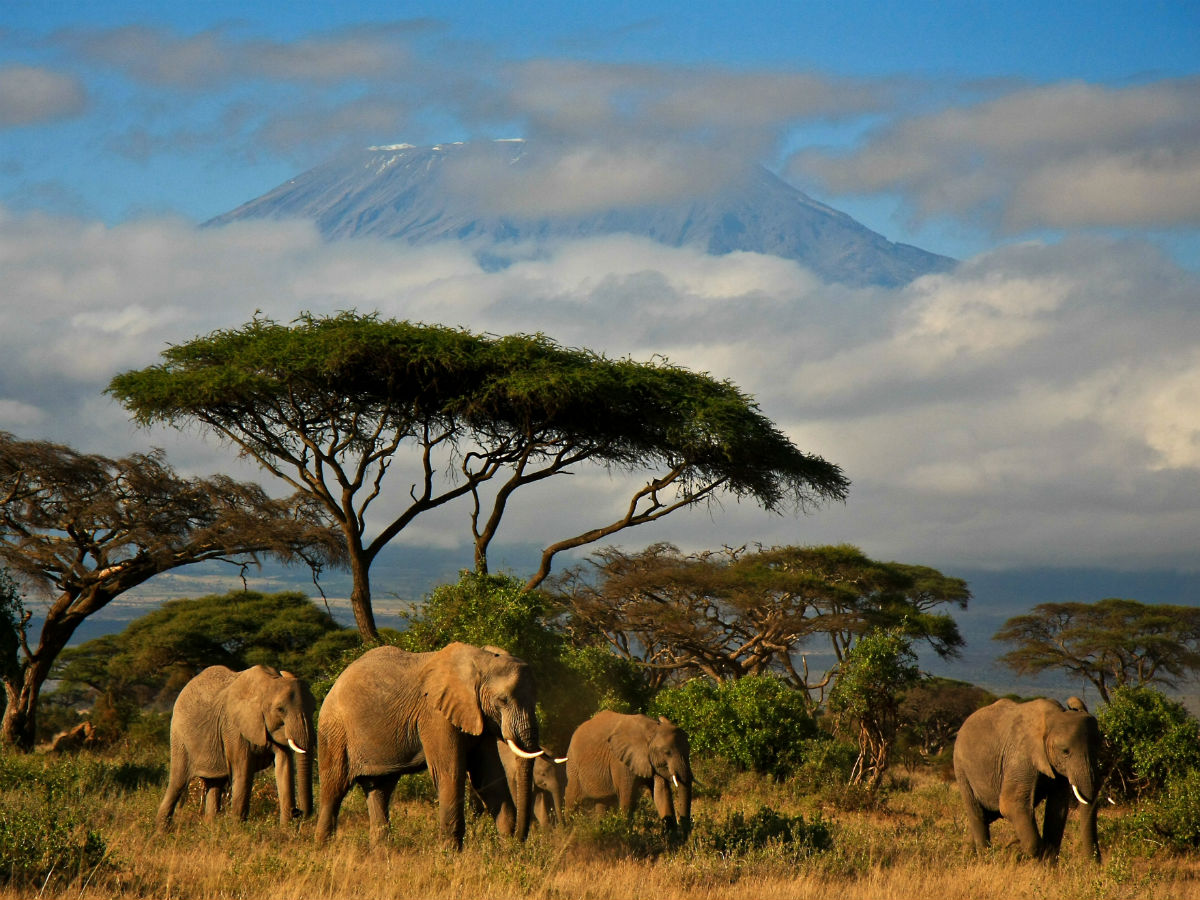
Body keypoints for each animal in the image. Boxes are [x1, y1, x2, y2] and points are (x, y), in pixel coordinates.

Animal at [154, 667, 314, 830]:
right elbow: (243, 770)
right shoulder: (233, 728)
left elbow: (284, 766)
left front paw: (286, 830)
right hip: (179, 739)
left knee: (215, 784)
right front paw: (239, 830)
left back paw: (211, 828)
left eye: (314, 709)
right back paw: (161, 831)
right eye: (280, 709)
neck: (268, 682)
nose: (298, 812)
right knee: (177, 783)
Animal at [319, 643, 544, 849]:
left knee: (379, 790)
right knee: (333, 789)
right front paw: (450, 855)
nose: (520, 840)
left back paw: (381, 855)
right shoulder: (435, 715)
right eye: (502, 700)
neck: (481, 660)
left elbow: (488, 777)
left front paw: (507, 849)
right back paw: (323, 849)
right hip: (334, 732)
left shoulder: (480, 716)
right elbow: (450, 773)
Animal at [568, 710, 696, 830]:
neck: (652, 730)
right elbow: (627, 800)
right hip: (573, 766)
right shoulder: (620, 762)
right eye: (667, 752)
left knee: (602, 803)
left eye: (689, 749)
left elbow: (661, 794)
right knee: (572, 801)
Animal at [950, 696, 1099, 864]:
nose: (1093, 864)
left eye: (1099, 748)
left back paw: (967, 856)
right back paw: (985, 859)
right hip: (961, 769)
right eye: (1065, 752)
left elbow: (1057, 809)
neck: (1054, 717)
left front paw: (1046, 866)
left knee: (988, 815)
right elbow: (1010, 804)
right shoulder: (1021, 757)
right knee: (978, 814)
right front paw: (1018, 850)